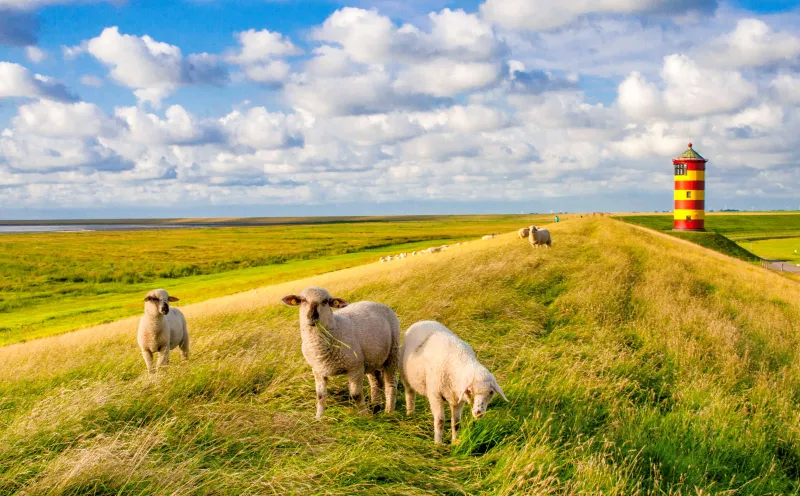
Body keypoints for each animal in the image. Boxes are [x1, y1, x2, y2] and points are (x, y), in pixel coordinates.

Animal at [282, 287, 400, 419]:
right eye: (302, 300)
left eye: (325, 301)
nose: (312, 317)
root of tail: (375, 302)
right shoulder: (318, 370)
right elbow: (320, 397)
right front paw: (318, 418)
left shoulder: (355, 368)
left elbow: (356, 395)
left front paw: (364, 416)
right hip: (371, 359)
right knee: (376, 382)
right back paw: (376, 406)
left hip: (392, 353)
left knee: (390, 384)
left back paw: (388, 412)